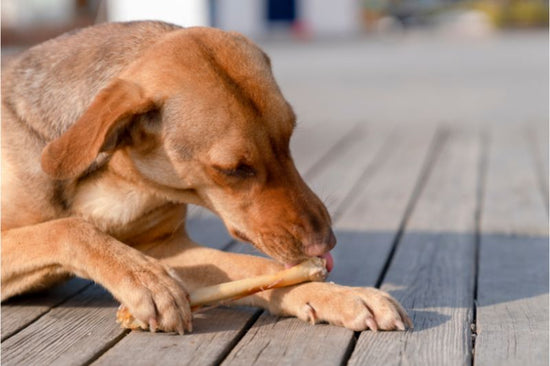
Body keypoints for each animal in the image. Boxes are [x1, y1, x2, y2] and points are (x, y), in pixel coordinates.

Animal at [1, 20, 414, 334]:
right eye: (234, 170)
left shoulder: (168, 248)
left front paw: (339, 294)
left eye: (289, 138)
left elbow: (258, 268)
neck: (121, 183)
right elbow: (68, 229)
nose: (325, 243)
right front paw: (145, 279)